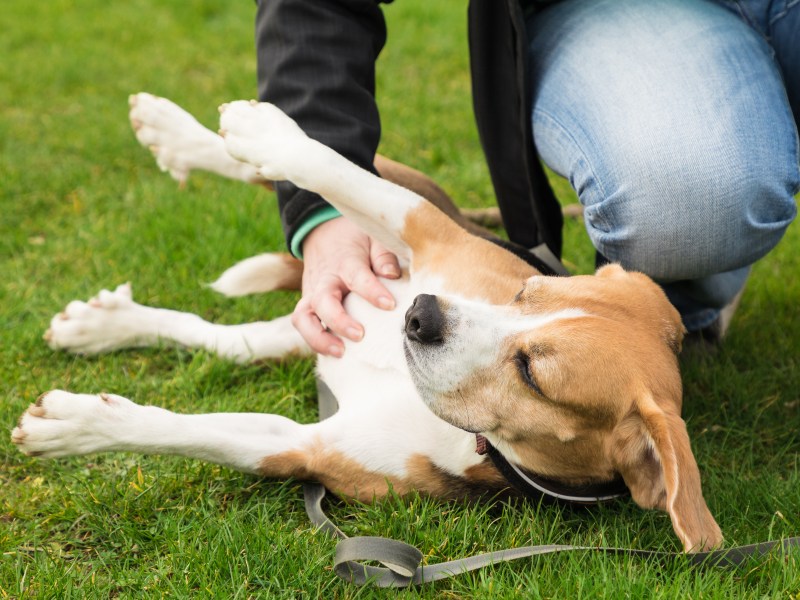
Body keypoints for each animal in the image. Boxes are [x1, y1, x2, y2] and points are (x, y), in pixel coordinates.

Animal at [12, 97, 720, 552]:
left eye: (533, 375)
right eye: (525, 290)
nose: (421, 314)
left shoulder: (306, 446)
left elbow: (191, 432)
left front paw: (77, 426)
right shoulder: (430, 234)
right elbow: (333, 169)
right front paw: (265, 136)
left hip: (300, 333)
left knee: (228, 343)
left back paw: (105, 324)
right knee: (322, 171)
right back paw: (188, 133)